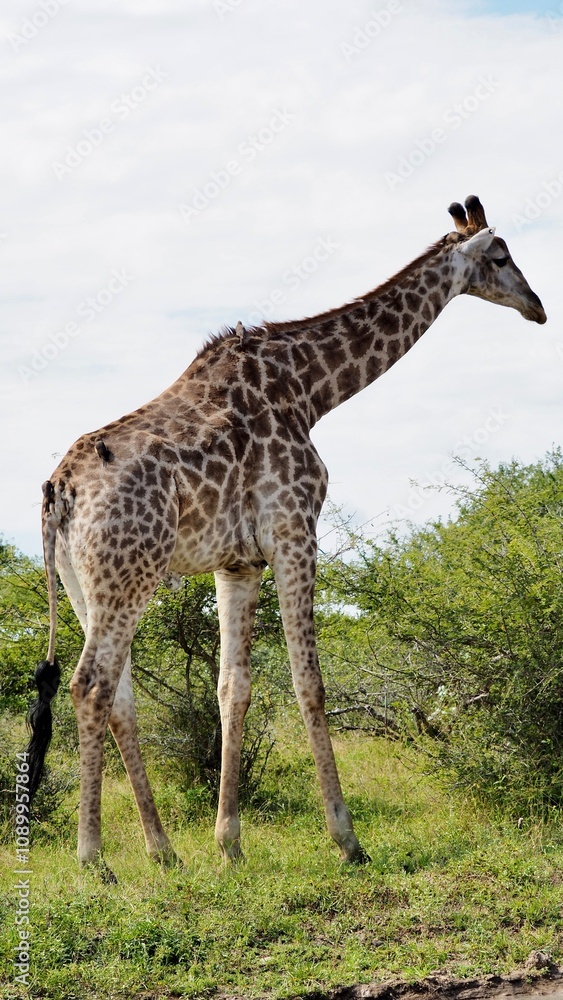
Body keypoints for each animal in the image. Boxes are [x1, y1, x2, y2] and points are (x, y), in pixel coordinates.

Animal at [26, 196, 546, 876]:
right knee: (90, 686)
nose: (538, 305)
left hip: (84, 585)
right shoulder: (296, 529)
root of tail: (58, 492)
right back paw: (94, 859)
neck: (312, 388)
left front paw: (228, 844)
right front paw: (347, 839)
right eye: (502, 255)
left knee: (118, 698)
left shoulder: (238, 563)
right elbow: (310, 683)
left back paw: (163, 851)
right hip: (127, 577)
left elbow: (233, 688)